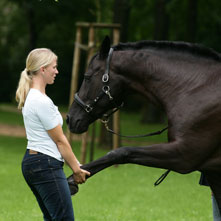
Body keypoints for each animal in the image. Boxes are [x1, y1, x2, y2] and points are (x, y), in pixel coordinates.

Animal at [66, 36, 221, 214]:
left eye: (87, 77)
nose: (70, 118)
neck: (196, 88)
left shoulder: (183, 155)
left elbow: (120, 152)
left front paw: (73, 178)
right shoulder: (211, 170)